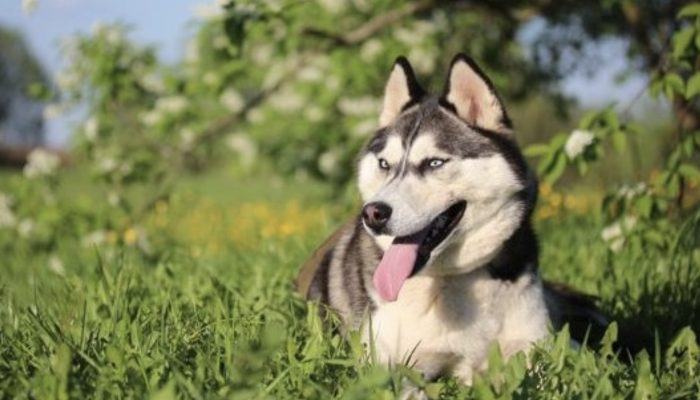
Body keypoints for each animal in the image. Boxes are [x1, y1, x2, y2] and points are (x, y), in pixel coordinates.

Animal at [296, 54, 608, 384]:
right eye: (384, 164)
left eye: (434, 162)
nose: (373, 213)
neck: (453, 278)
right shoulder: (387, 362)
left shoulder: (534, 343)